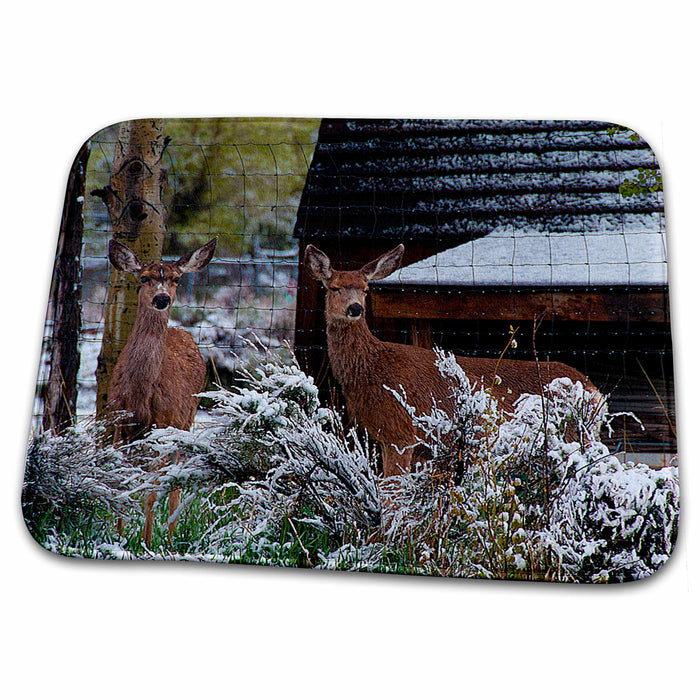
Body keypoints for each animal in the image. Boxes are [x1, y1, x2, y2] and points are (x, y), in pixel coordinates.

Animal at [105, 238, 216, 544]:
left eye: (177, 279)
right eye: (144, 277)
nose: (162, 299)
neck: (140, 396)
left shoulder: (163, 425)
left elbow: (152, 491)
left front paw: (145, 542)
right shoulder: (117, 423)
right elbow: (121, 483)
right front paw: (119, 539)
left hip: (186, 419)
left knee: (176, 476)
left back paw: (171, 535)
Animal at [304, 243, 604, 478]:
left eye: (366, 289)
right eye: (334, 288)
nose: (355, 308)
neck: (372, 369)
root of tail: (595, 391)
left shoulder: (401, 433)